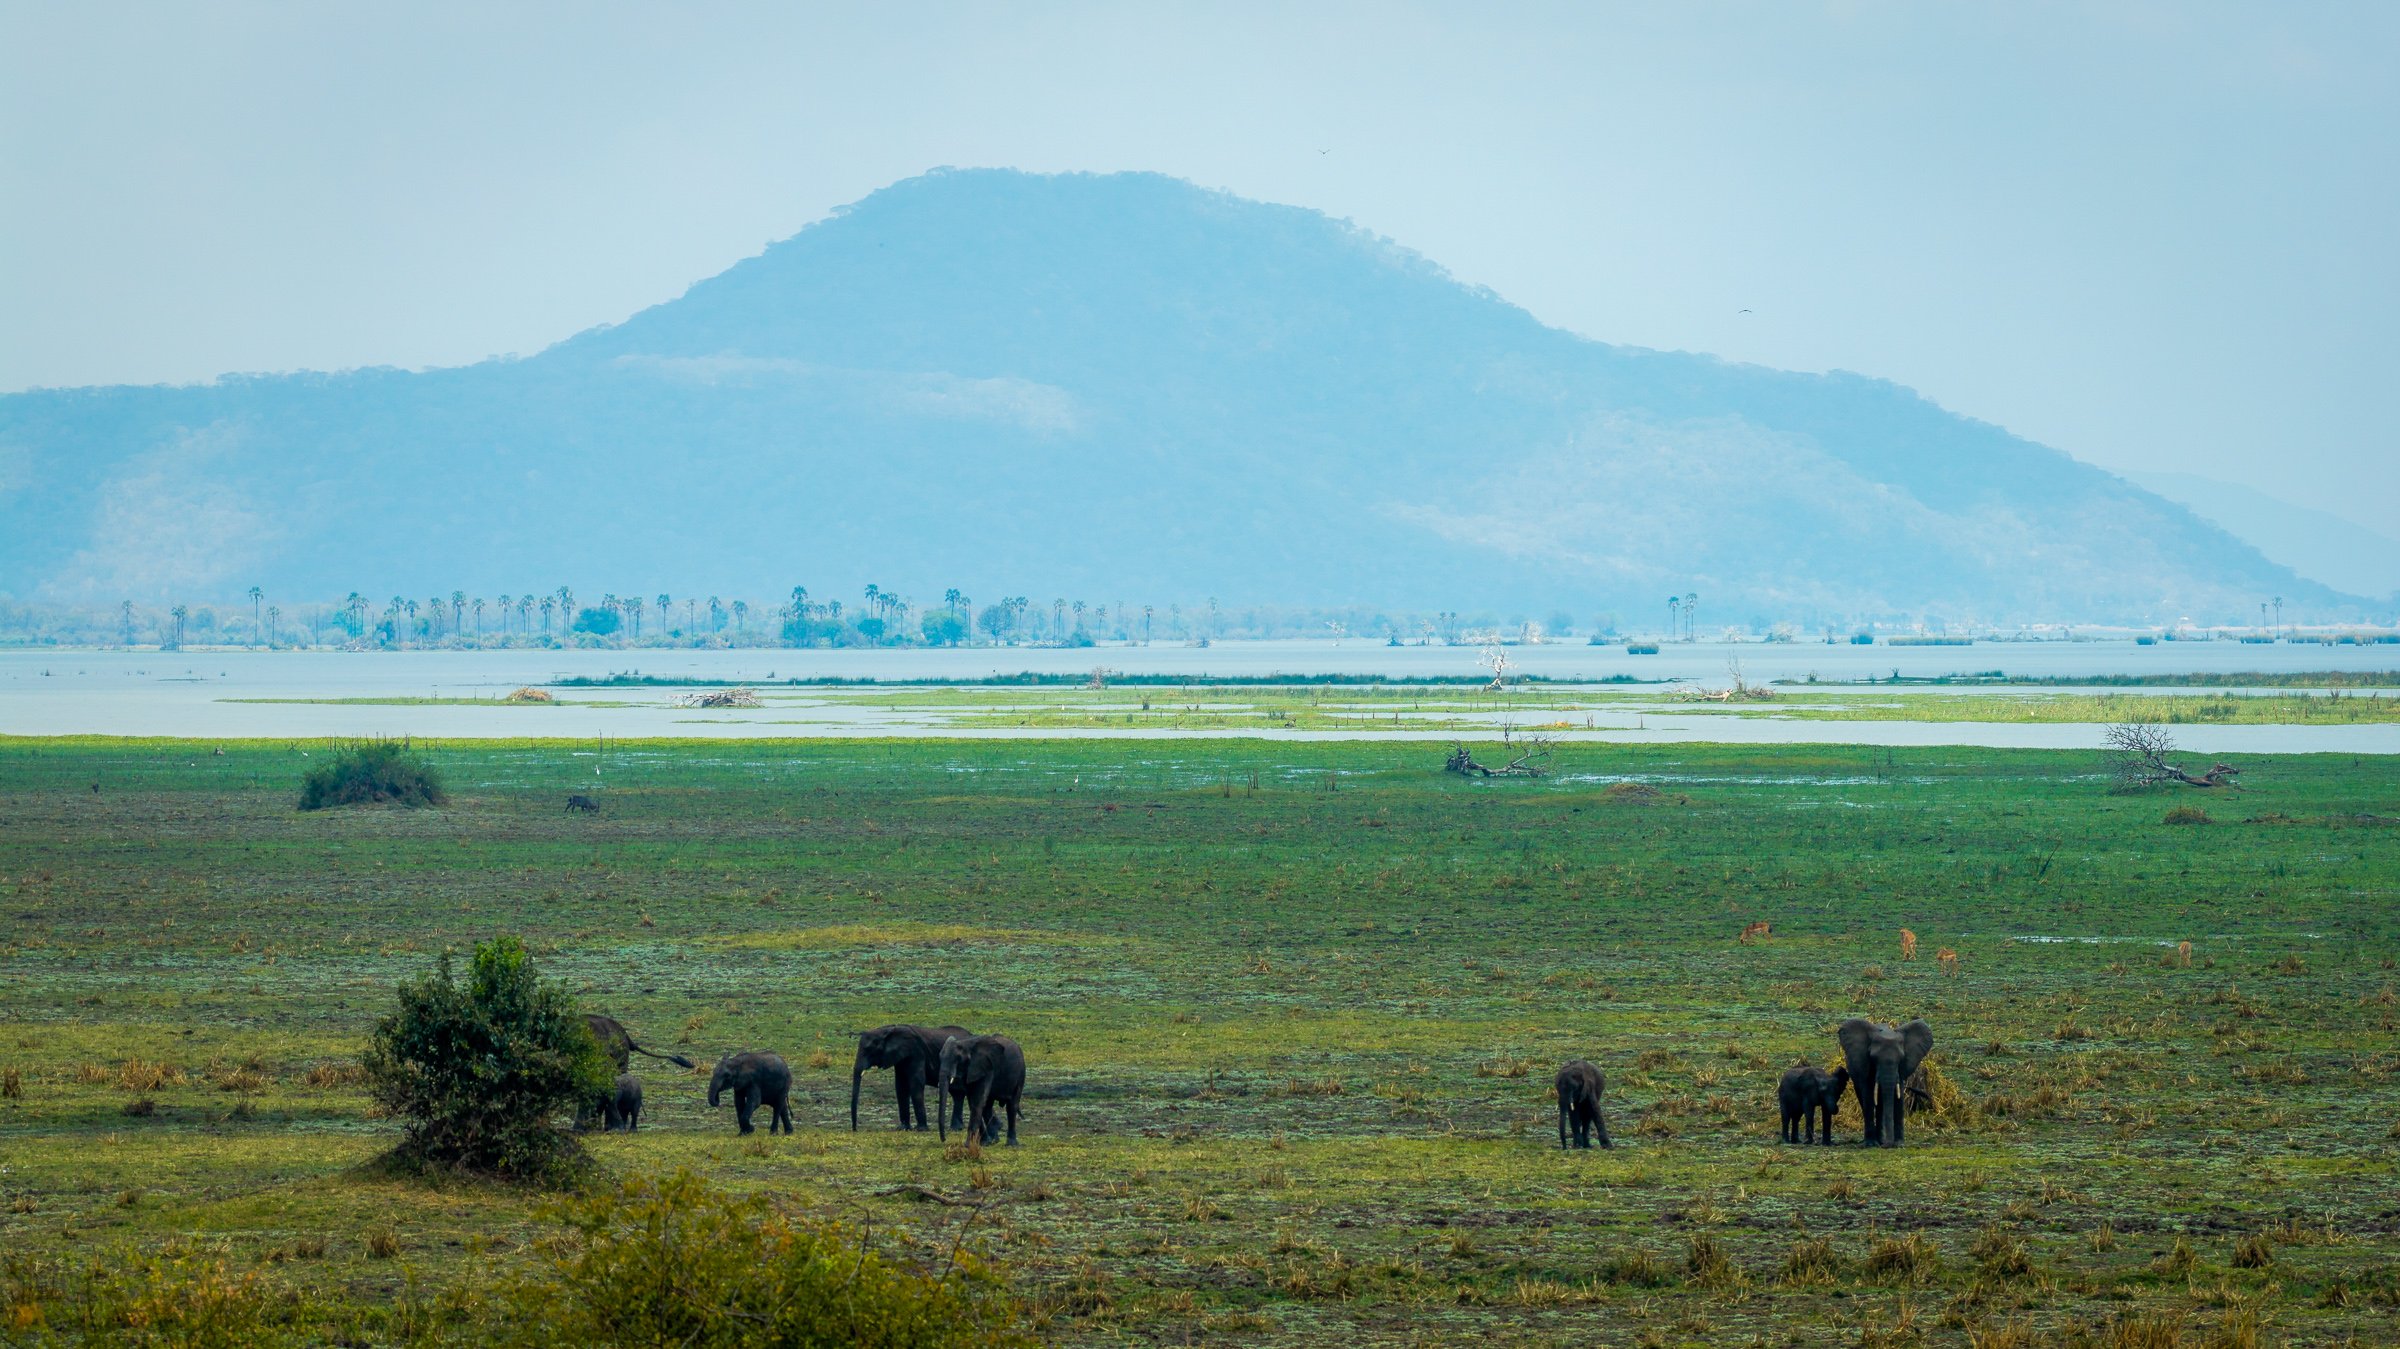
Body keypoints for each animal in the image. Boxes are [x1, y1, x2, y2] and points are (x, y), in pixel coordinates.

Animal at [1837, 1018, 1934, 1147]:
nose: (1888, 1145)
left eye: (1901, 1058)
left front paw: (1899, 1145)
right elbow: (1868, 1095)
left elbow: (1898, 1097)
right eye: (1873, 1057)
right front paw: (1871, 1145)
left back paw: (1880, 1140)